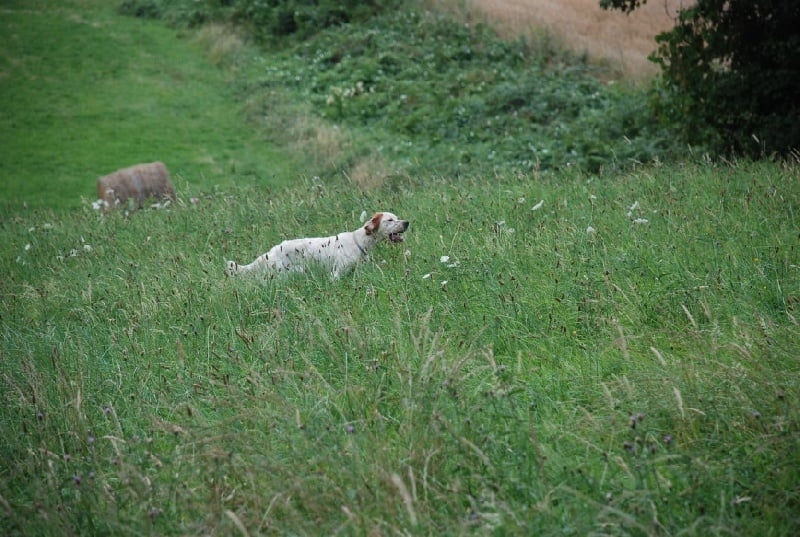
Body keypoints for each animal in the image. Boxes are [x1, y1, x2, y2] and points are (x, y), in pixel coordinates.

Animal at [227, 209, 410, 278]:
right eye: (390, 220)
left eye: (397, 217)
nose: (407, 222)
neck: (358, 241)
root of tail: (271, 251)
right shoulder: (336, 273)